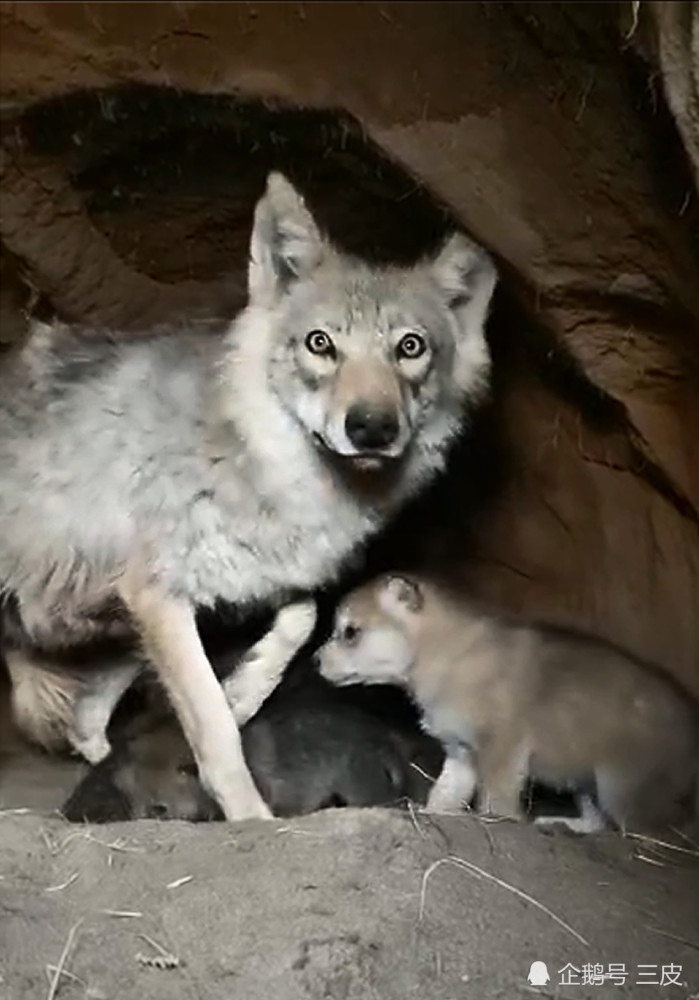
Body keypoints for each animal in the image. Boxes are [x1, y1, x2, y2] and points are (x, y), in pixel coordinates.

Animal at [0, 172, 498, 820]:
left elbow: (298, 620)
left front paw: (242, 692)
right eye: (320, 343)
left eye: (410, 348)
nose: (370, 427)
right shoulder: (157, 595)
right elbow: (213, 731)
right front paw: (249, 815)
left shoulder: (235, 581)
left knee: (84, 714)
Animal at [318, 572, 699, 828]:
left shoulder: (501, 750)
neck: (450, 653)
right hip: (586, 784)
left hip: (621, 791)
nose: (314, 660)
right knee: (596, 824)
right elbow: (444, 795)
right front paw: (434, 814)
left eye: (350, 632)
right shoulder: (461, 752)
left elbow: (495, 803)